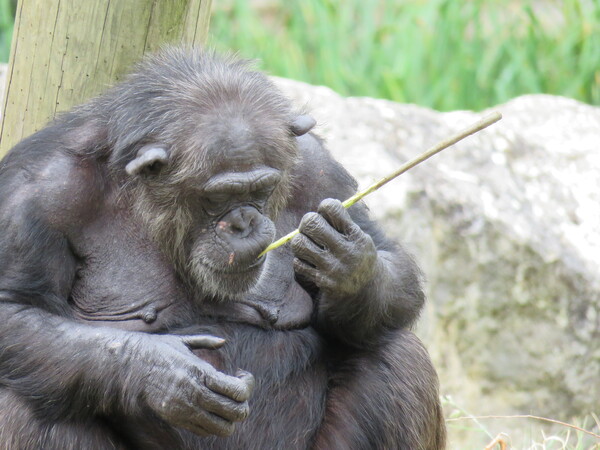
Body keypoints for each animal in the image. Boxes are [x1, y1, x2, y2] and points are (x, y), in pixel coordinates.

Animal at [0, 47, 446, 448]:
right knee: (22, 401)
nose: (244, 221)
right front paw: (165, 373)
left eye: (262, 189)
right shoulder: (37, 197)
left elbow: (389, 257)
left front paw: (349, 265)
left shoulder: (319, 169)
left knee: (397, 352)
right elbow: (15, 308)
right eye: (219, 196)